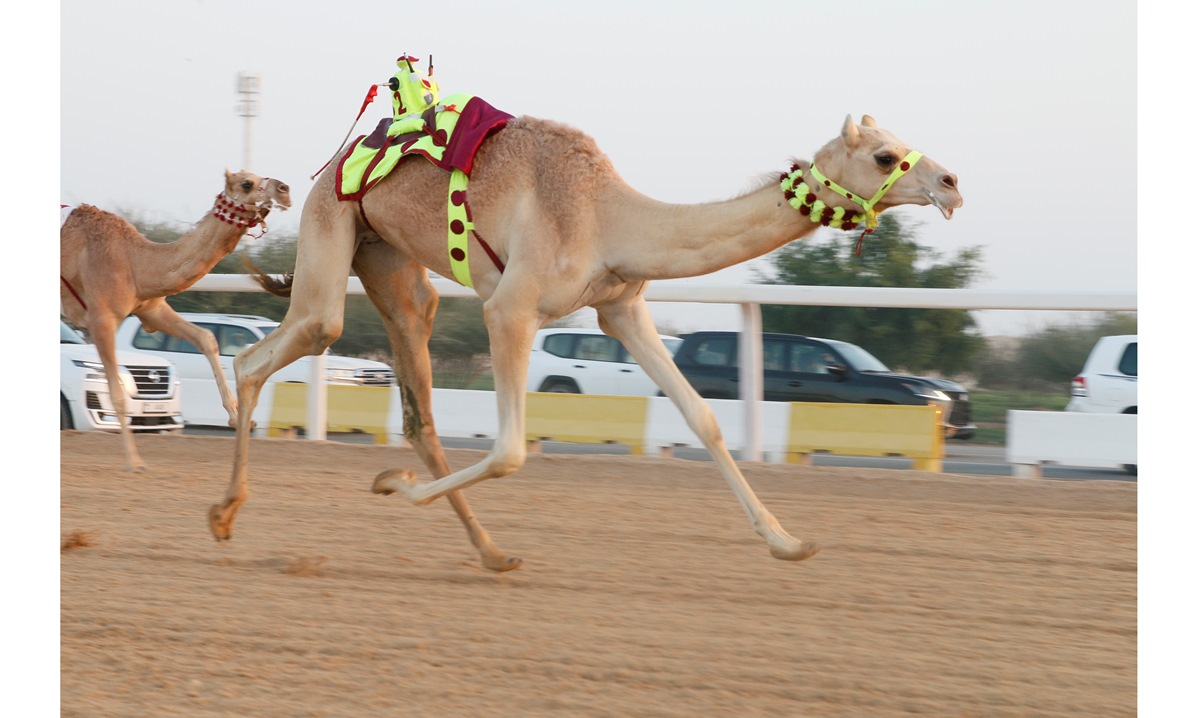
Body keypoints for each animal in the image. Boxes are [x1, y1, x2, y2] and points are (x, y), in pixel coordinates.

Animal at [61, 170, 292, 473]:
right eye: (247, 184)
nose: (285, 189)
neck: (134, 261)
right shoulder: (101, 319)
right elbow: (118, 394)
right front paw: (135, 462)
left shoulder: (152, 308)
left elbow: (206, 338)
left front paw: (236, 416)